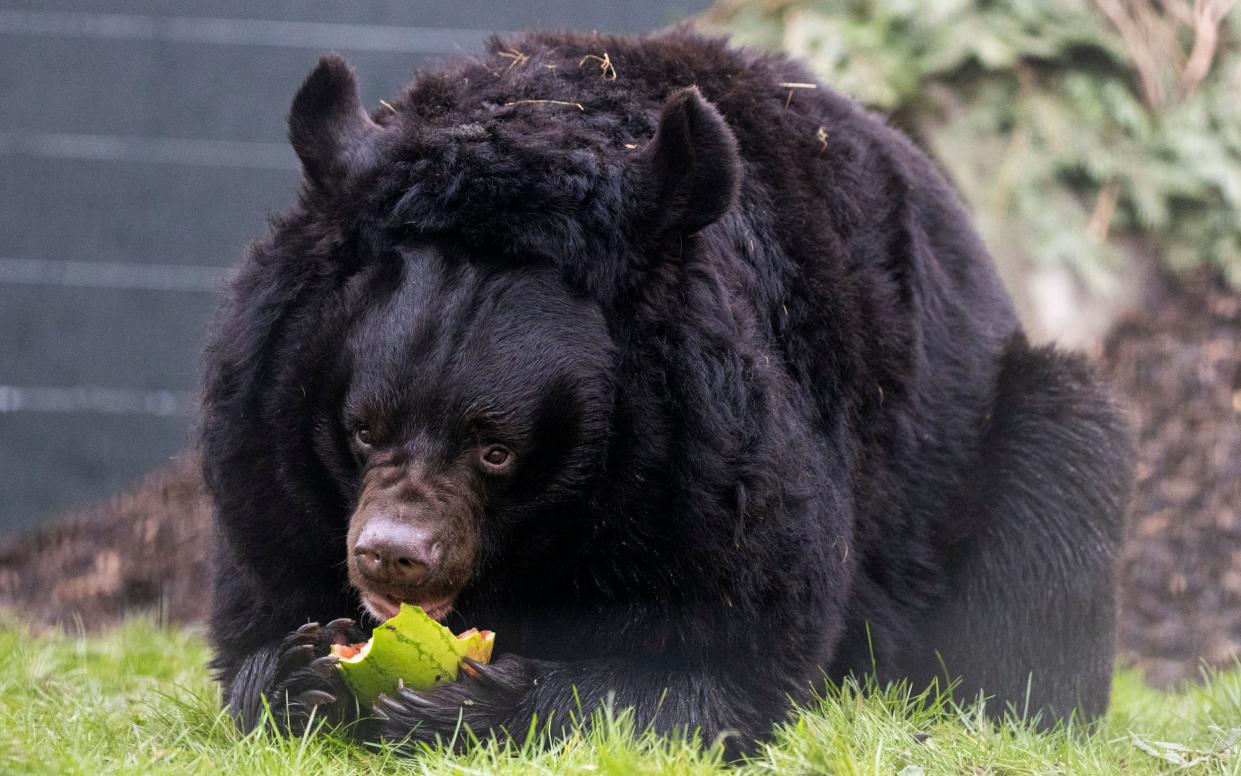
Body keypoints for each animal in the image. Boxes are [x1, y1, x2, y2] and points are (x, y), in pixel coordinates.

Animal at [201, 28, 1136, 749]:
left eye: (495, 450)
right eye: (362, 428)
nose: (391, 554)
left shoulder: (723, 454)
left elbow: (731, 658)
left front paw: (472, 702)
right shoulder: (261, 452)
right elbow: (263, 599)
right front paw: (297, 672)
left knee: (1056, 494)